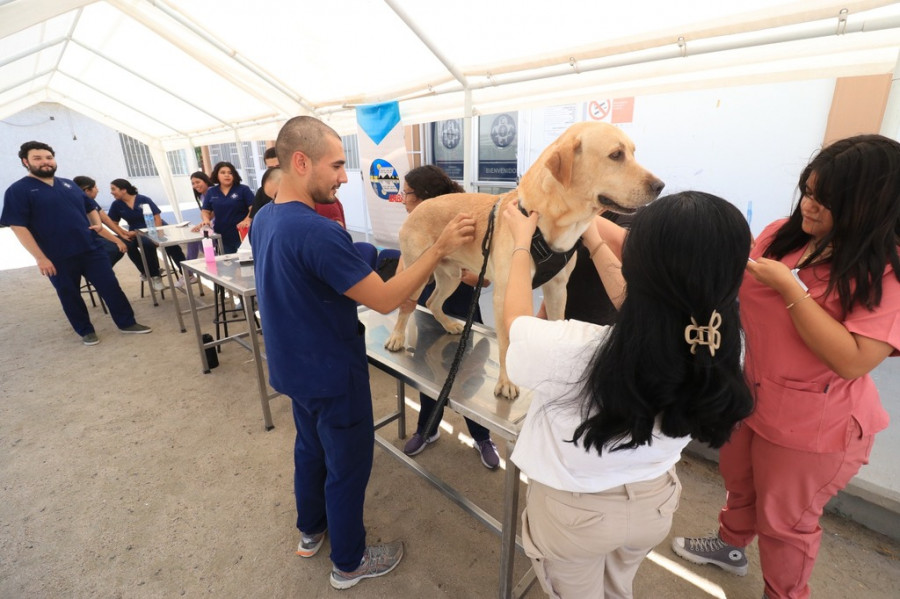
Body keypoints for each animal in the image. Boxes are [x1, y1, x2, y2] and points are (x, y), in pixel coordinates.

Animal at [380, 122, 660, 398]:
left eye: (633, 153)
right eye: (616, 155)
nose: (660, 186)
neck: (549, 222)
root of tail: (418, 208)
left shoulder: (558, 289)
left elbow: (556, 323)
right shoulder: (505, 295)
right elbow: (506, 342)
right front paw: (506, 382)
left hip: (451, 276)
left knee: (432, 302)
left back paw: (449, 324)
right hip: (417, 274)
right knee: (406, 306)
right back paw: (396, 338)